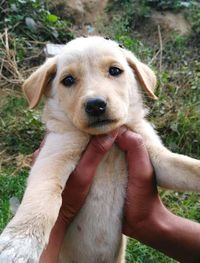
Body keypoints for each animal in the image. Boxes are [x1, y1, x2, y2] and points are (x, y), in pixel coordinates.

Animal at [0, 36, 200, 262]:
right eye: (68, 80)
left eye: (115, 71)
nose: (95, 105)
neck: (107, 143)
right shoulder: (54, 154)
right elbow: (43, 195)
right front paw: (20, 242)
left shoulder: (159, 160)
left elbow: (189, 166)